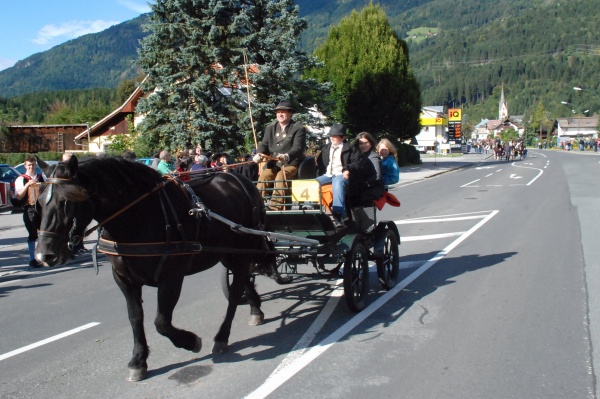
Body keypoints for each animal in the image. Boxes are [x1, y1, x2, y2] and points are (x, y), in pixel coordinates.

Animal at [34, 155, 274, 382]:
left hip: (242, 250)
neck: (139, 216)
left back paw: (223, 336)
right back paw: (256, 309)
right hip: (227, 254)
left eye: (65, 202)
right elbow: (135, 317)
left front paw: (190, 341)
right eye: (39, 201)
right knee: (243, 280)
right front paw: (138, 361)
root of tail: (241, 180)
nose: (44, 255)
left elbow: (161, 322)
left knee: (235, 291)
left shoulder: (171, 277)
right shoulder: (123, 278)